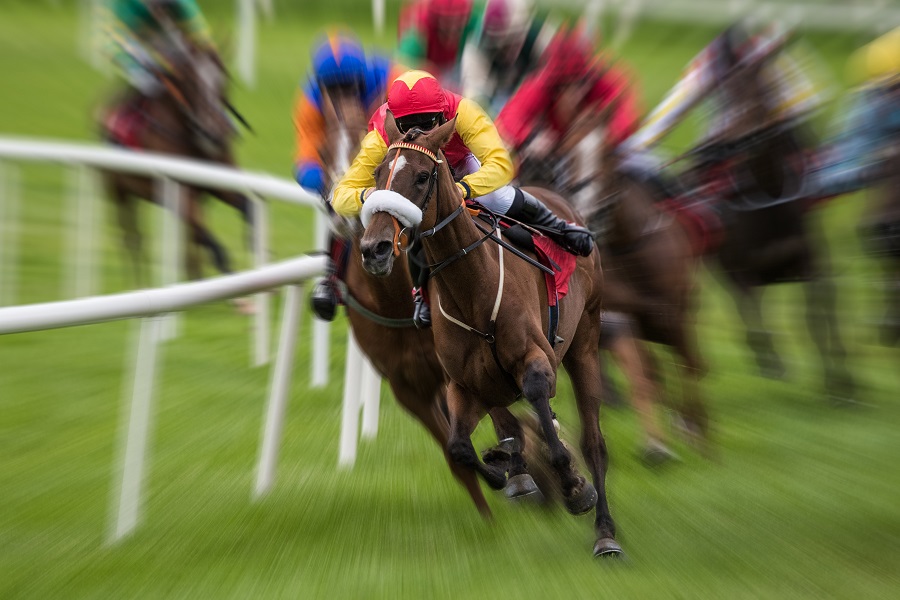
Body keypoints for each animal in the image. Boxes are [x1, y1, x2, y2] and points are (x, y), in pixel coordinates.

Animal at [99, 37, 251, 286]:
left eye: (223, 78)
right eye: (190, 80)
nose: (212, 131)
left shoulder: (216, 185)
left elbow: (248, 208)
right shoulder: (180, 192)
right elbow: (214, 247)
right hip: (118, 190)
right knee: (133, 238)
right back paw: (140, 285)